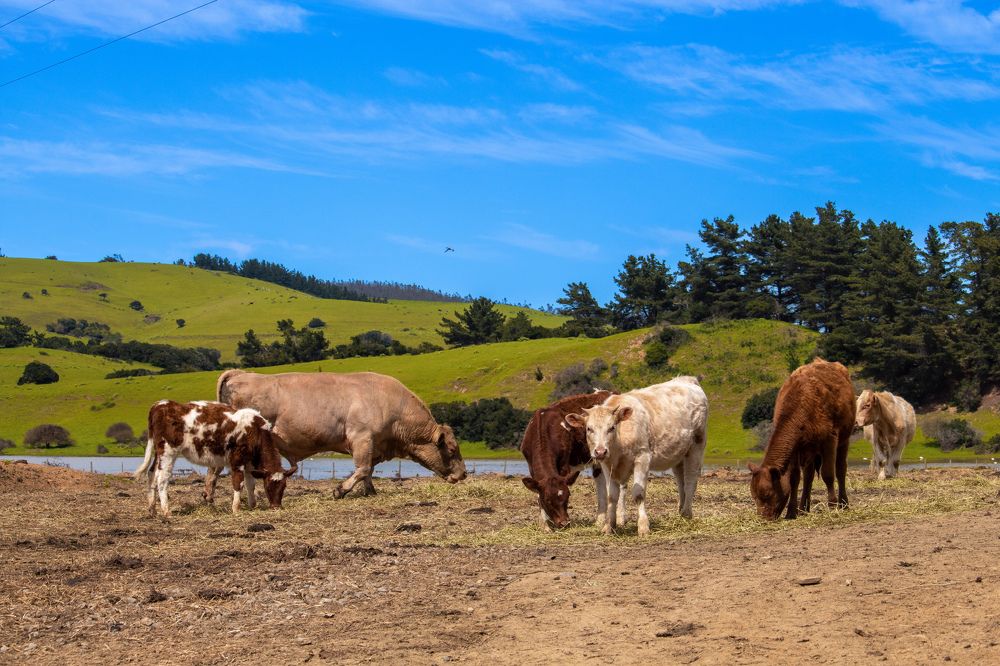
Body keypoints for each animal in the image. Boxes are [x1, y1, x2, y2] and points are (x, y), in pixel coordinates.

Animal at [135, 400, 296, 518]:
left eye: (284, 486)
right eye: (268, 486)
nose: (276, 507)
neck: (255, 430)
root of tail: (161, 404)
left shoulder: (249, 463)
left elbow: (250, 484)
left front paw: (252, 505)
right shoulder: (237, 460)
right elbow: (238, 483)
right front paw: (236, 509)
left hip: (158, 453)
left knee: (151, 474)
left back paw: (152, 509)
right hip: (168, 451)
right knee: (162, 479)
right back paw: (166, 511)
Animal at [216, 370, 466, 498]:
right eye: (452, 449)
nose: (464, 474)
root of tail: (240, 373)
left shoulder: (373, 444)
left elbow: (368, 469)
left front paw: (370, 491)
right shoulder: (362, 438)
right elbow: (363, 468)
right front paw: (341, 490)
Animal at [520, 391, 626, 531]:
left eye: (568, 496)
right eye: (547, 500)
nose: (564, 523)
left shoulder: (564, 466)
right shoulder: (531, 467)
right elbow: (537, 493)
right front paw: (545, 526)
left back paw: (621, 519)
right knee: (601, 483)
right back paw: (599, 521)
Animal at [564, 377, 708, 536]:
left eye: (612, 427)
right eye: (589, 428)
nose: (600, 451)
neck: (619, 446)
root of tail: (686, 379)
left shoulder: (643, 458)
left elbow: (638, 494)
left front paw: (643, 527)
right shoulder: (607, 465)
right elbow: (611, 496)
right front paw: (609, 526)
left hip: (697, 445)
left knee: (690, 479)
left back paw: (687, 513)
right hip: (679, 454)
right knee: (680, 479)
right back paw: (681, 511)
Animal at [749, 359, 855, 520]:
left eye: (767, 494)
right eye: (754, 496)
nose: (763, 519)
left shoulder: (829, 440)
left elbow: (828, 474)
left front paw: (832, 506)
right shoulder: (795, 448)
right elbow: (794, 479)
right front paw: (791, 511)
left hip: (844, 440)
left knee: (841, 469)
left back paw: (843, 504)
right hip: (810, 450)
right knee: (808, 477)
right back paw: (804, 508)